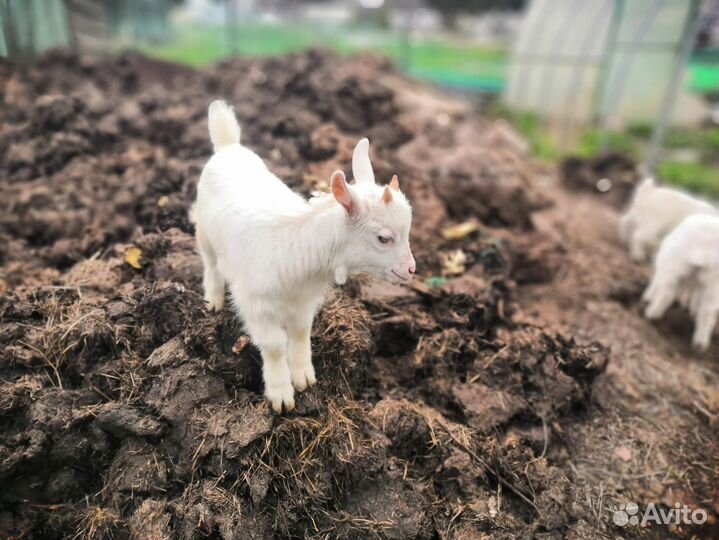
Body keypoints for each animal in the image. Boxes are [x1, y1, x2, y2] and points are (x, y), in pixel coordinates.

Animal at [192, 100, 415, 412]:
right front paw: (281, 394)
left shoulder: (304, 300)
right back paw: (213, 300)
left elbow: (300, 332)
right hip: (204, 231)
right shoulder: (255, 302)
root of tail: (228, 146)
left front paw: (304, 378)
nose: (411, 269)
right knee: (211, 264)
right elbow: (274, 345)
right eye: (384, 238)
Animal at [643, 214, 719, 351]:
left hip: (673, 267)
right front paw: (691, 308)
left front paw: (647, 297)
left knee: (666, 294)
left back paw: (652, 315)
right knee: (707, 312)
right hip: (714, 284)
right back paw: (700, 343)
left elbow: (655, 284)